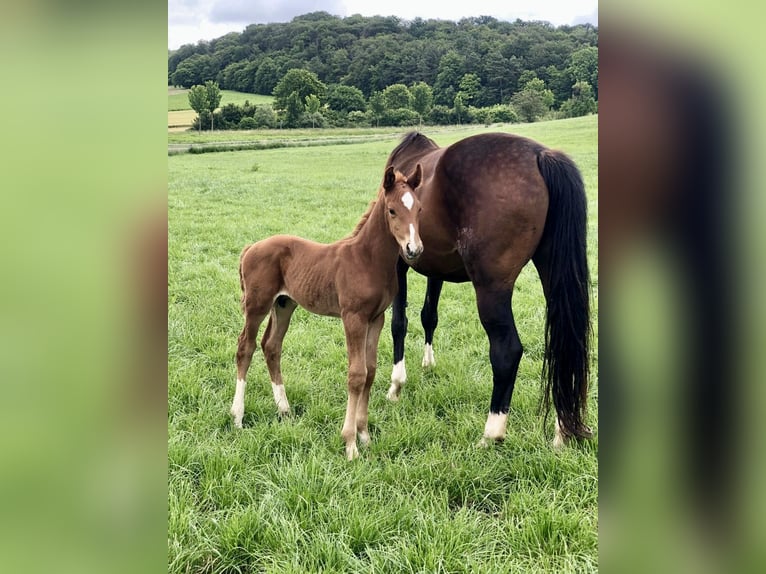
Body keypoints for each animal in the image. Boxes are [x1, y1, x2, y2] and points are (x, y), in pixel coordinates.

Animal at [234, 164, 426, 462]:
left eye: (418, 208)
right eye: (392, 210)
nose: (413, 249)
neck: (367, 260)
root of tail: (250, 248)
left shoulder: (376, 318)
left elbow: (370, 371)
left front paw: (365, 435)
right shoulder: (353, 317)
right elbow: (356, 374)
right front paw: (350, 444)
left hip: (284, 304)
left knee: (271, 346)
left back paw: (284, 410)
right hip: (257, 304)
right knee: (246, 346)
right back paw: (238, 417)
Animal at [384, 133, 592, 448]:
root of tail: (541, 155)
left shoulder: (398, 263)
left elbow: (399, 323)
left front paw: (396, 386)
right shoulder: (435, 269)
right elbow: (429, 316)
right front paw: (428, 363)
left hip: (491, 289)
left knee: (507, 351)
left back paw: (491, 432)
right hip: (554, 276)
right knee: (563, 344)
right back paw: (562, 430)